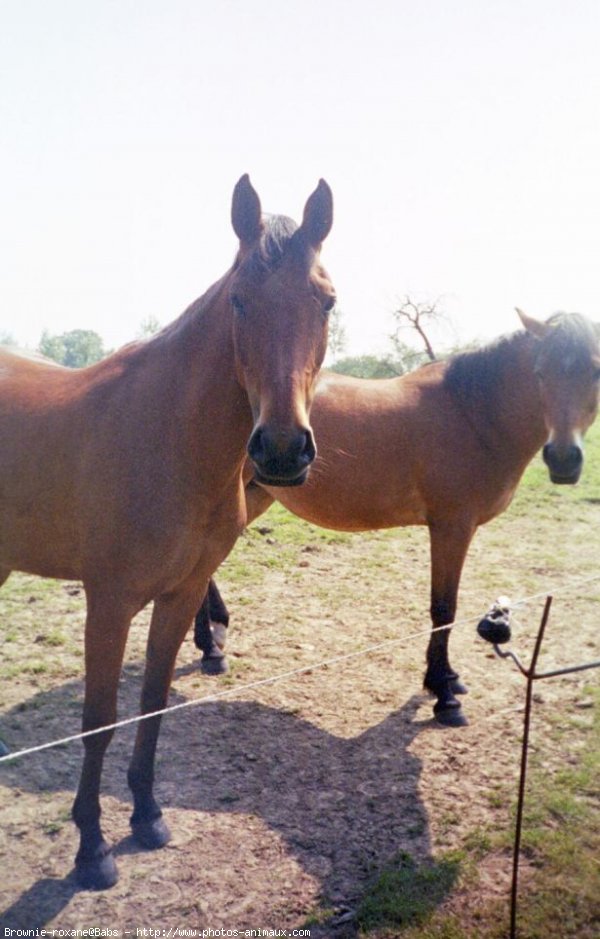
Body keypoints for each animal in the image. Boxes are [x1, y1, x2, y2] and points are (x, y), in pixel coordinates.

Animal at [0, 174, 336, 888]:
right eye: (238, 299)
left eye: (326, 301)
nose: (282, 450)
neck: (169, 439)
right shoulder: (109, 601)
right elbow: (98, 721)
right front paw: (91, 849)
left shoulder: (181, 594)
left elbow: (152, 704)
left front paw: (147, 817)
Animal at [196, 312, 600, 724]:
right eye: (540, 371)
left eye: (596, 371)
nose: (564, 459)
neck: (473, 413)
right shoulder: (452, 526)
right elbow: (444, 608)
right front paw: (444, 696)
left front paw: (450, 679)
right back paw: (211, 650)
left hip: (257, 493)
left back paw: (215, 639)